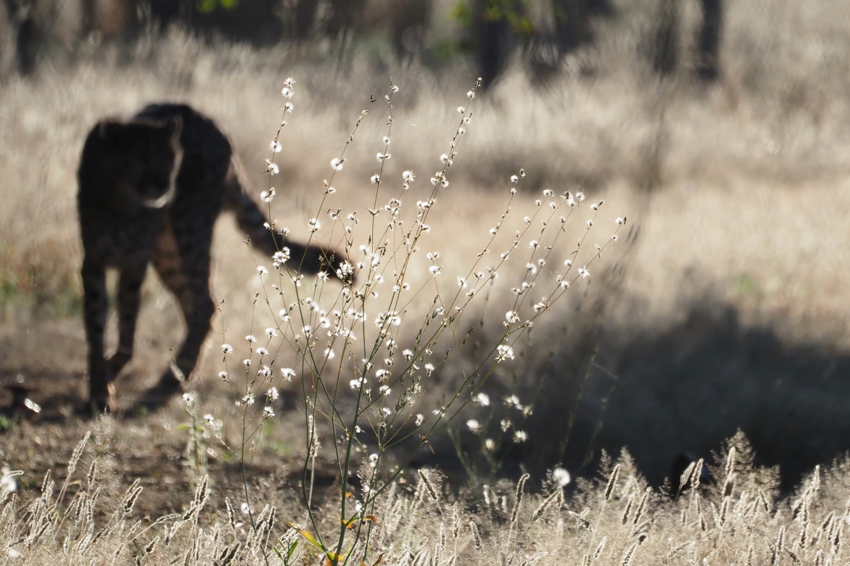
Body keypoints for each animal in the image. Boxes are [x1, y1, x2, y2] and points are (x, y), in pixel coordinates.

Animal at [77, 103, 344, 413]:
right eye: (142, 158)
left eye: (171, 159)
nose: (165, 186)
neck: (122, 199)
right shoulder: (93, 262)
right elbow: (97, 329)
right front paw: (100, 387)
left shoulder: (135, 263)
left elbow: (126, 329)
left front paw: (105, 383)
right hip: (167, 251)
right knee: (195, 305)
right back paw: (181, 374)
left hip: (189, 229)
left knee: (204, 303)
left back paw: (172, 379)